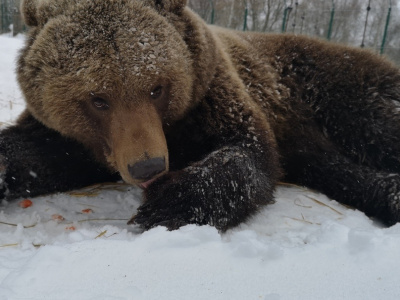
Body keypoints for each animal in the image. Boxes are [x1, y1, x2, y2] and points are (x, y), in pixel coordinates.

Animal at [0, 0, 400, 231]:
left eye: (156, 87)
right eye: (98, 99)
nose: (148, 166)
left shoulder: (213, 93)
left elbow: (248, 151)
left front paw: (167, 203)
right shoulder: (86, 140)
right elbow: (38, 152)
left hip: (333, 88)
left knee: (378, 123)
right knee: (336, 168)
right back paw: (388, 192)